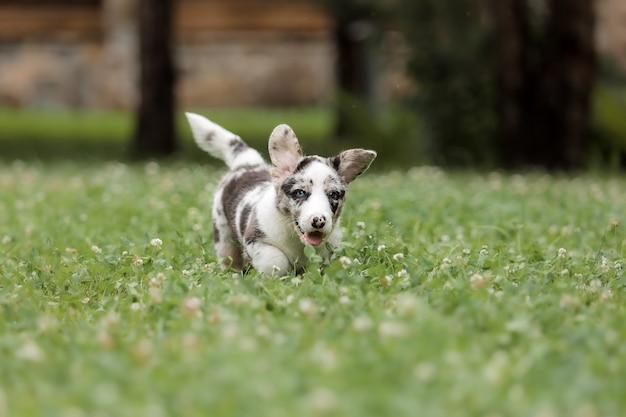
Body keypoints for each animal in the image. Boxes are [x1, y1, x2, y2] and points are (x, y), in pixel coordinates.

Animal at [183, 112, 372, 274]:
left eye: (333, 195)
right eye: (300, 193)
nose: (319, 221)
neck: (296, 239)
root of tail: (248, 162)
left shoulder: (329, 250)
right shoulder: (256, 241)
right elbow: (276, 260)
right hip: (223, 234)